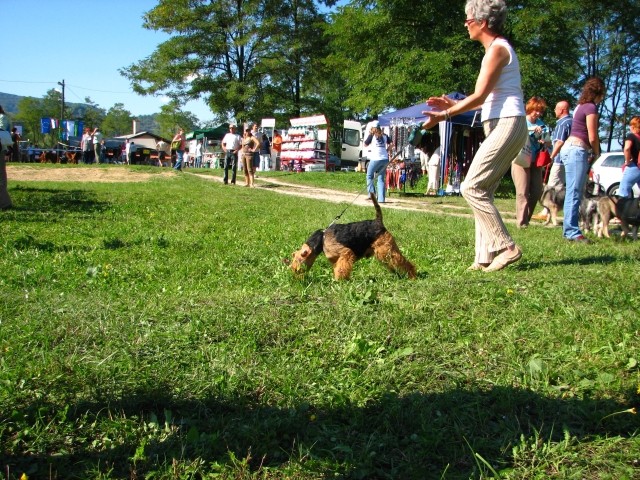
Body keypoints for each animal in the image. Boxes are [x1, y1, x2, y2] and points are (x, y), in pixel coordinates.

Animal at [288, 193, 418, 280]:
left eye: (298, 264)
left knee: (404, 262)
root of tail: (378, 221)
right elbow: (338, 268)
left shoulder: (346, 253)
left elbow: (341, 269)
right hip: (383, 253)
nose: (295, 278)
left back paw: (412, 276)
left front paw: (339, 281)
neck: (322, 239)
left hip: (386, 250)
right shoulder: (336, 260)